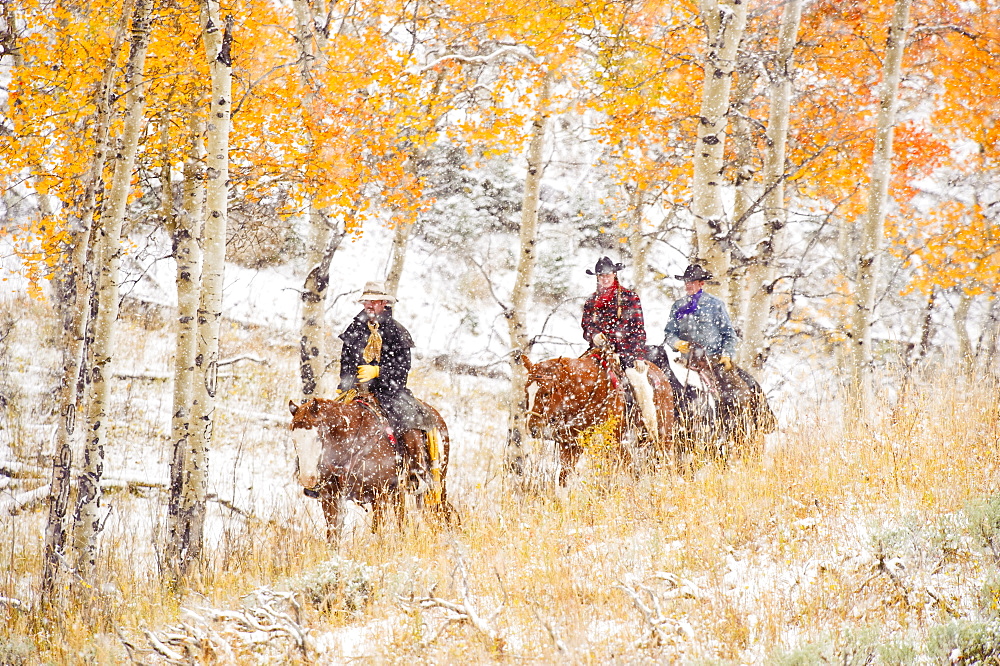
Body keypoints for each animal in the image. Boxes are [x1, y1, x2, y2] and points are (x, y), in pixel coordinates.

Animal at [286, 394, 450, 540]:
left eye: (318, 436)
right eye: (293, 439)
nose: (308, 478)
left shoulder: (379, 496)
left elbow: (377, 531)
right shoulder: (330, 498)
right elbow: (333, 535)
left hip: (437, 483)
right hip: (399, 491)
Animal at [520, 350, 676, 486]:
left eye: (546, 393)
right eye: (526, 391)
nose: (533, 428)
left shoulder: (615, 443)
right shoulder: (570, 445)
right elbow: (563, 477)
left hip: (663, 439)